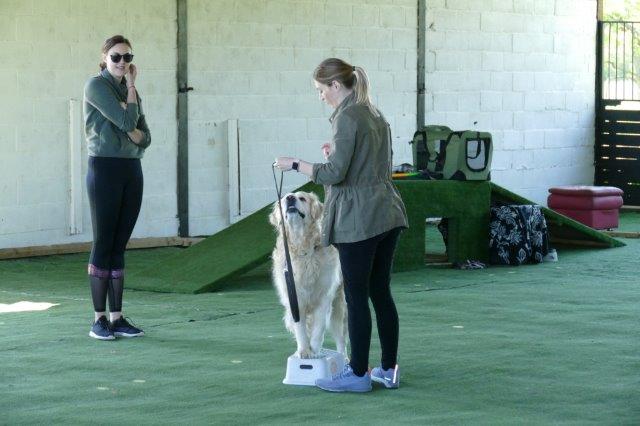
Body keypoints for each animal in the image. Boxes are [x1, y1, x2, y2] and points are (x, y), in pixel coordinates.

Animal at [269, 191, 348, 359]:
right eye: (284, 199)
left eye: (302, 198)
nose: (290, 198)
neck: (302, 248)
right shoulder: (294, 299)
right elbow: (300, 329)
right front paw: (304, 350)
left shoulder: (324, 298)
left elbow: (318, 329)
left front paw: (315, 350)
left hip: (338, 306)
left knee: (341, 338)